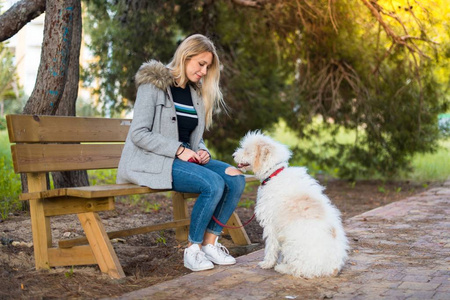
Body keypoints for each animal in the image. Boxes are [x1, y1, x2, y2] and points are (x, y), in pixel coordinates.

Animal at [234, 131, 350, 278]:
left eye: (247, 151)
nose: (233, 155)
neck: (274, 174)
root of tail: (330, 269)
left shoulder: (271, 226)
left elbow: (271, 247)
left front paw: (268, 263)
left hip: (292, 245)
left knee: (298, 269)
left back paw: (282, 268)